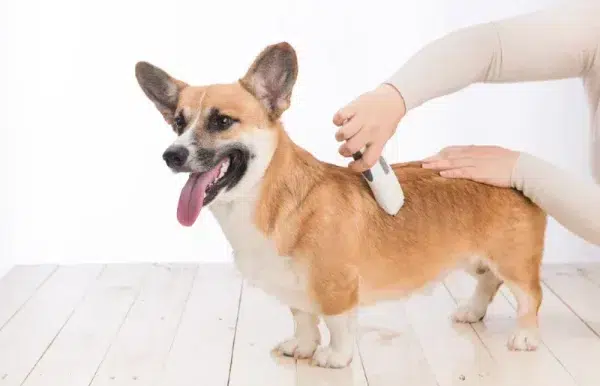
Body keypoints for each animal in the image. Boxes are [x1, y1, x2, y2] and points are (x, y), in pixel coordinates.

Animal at [135, 41, 548, 368]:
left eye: (222, 121)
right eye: (178, 123)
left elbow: (337, 324)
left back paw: (525, 336)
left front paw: (334, 357)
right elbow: (303, 319)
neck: (268, 199)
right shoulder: (296, 289)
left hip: (514, 263)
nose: (171, 155)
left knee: (530, 297)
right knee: (489, 282)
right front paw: (301, 347)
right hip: (478, 260)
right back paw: (472, 312)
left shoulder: (336, 287)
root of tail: (511, 168)